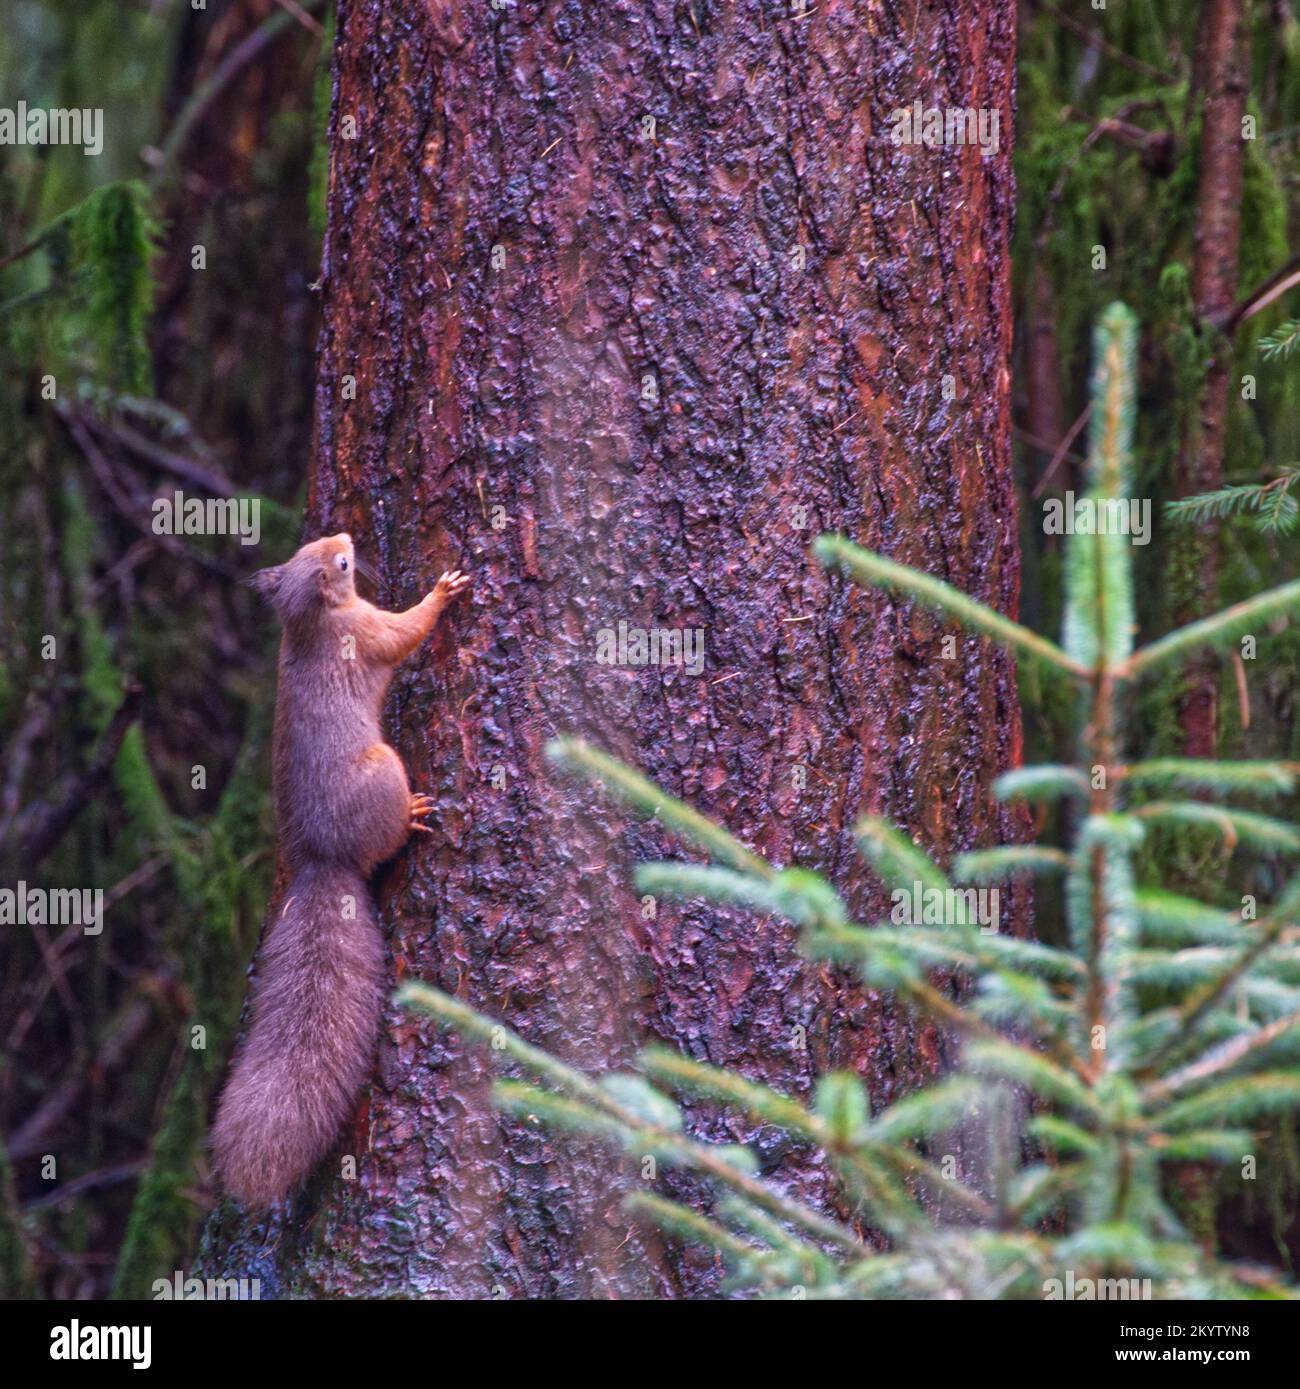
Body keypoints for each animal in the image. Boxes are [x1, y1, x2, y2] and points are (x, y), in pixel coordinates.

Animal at [213, 530, 472, 1205]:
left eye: (318, 548)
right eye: (344, 564)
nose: (346, 536)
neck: (310, 621)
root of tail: (322, 858)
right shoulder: (368, 628)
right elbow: (406, 632)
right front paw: (442, 591)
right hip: (383, 771)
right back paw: (413, 814)